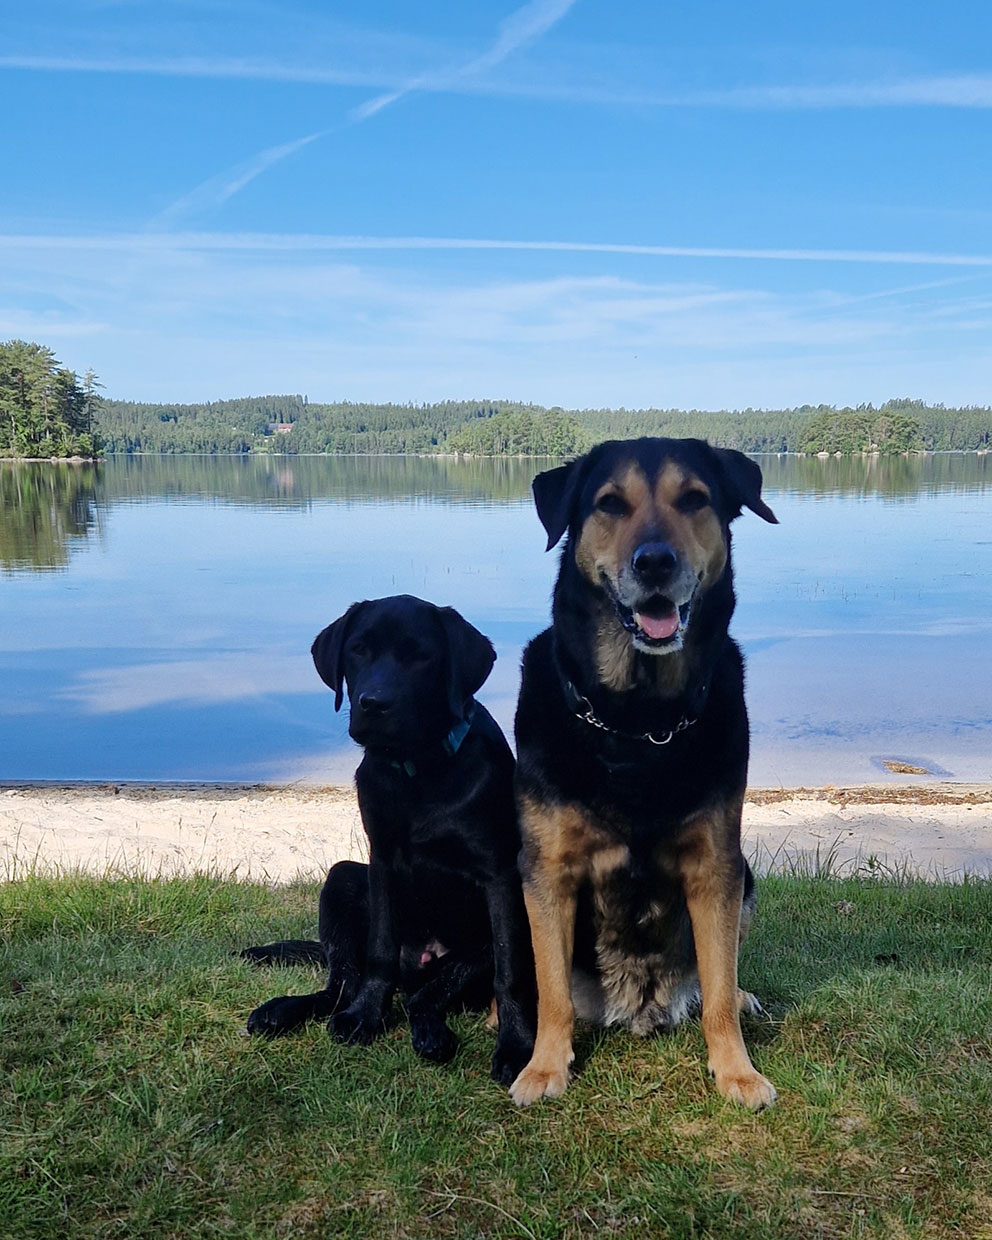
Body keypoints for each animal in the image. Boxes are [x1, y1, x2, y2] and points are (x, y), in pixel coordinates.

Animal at [243, 595, 535, 1084]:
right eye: (358, 650)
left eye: (421, 656)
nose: (374, 703)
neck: (418, 771)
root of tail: (416, 964)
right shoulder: (380, 861)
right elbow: (378, 951)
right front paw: (366, 1017)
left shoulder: (500, 876)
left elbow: (510, 969)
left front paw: (516, 1046)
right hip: (342, 879)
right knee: (343, 983)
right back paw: (286, 1010)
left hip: (473, 947)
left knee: (428, 994)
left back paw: (431, 1032)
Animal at [508, 437, 778, 1110]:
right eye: (609, 503)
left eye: (695, 498)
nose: (654, 562)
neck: (638, 722)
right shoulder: (547, 871)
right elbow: (552, 992)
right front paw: (544, 1066)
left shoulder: (717, 867)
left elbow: (718, 992)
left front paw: (736, 1071)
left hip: (747, 883)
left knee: (715, 982)